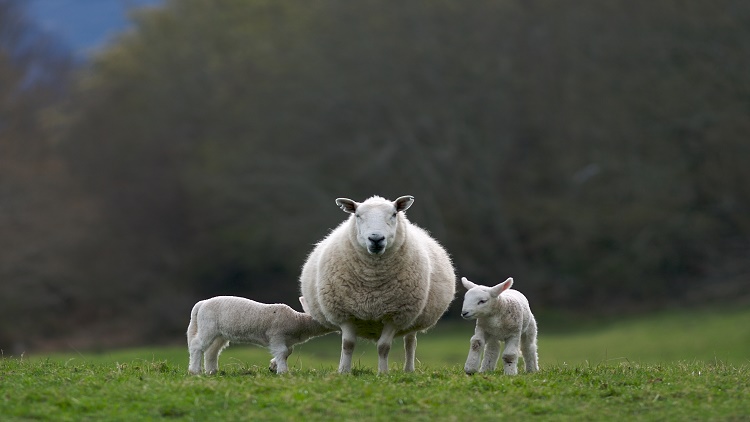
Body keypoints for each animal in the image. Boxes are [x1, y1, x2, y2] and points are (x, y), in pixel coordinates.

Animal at [187, 296, 335, 374]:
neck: (298, 321)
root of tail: (201, 304)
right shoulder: (276, 335)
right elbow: (282, 352)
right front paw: (283, 371)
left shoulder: (286, 340)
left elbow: (288, 352)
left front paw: (273, 366)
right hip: (208, 327)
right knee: (196, 345)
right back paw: (195, 371)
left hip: (220, 334)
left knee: (211, 351)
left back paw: (211, 371)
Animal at [300, 195, 456, 374]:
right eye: (357, 215)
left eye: (394, 214)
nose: (376, 238)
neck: (372, 281)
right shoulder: (345, 314)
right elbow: (347, 345)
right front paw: (344, 372)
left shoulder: (395, 316)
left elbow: (384, 347)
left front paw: (383, 373)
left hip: (412, 318)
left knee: (410, 342)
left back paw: (409, 370)